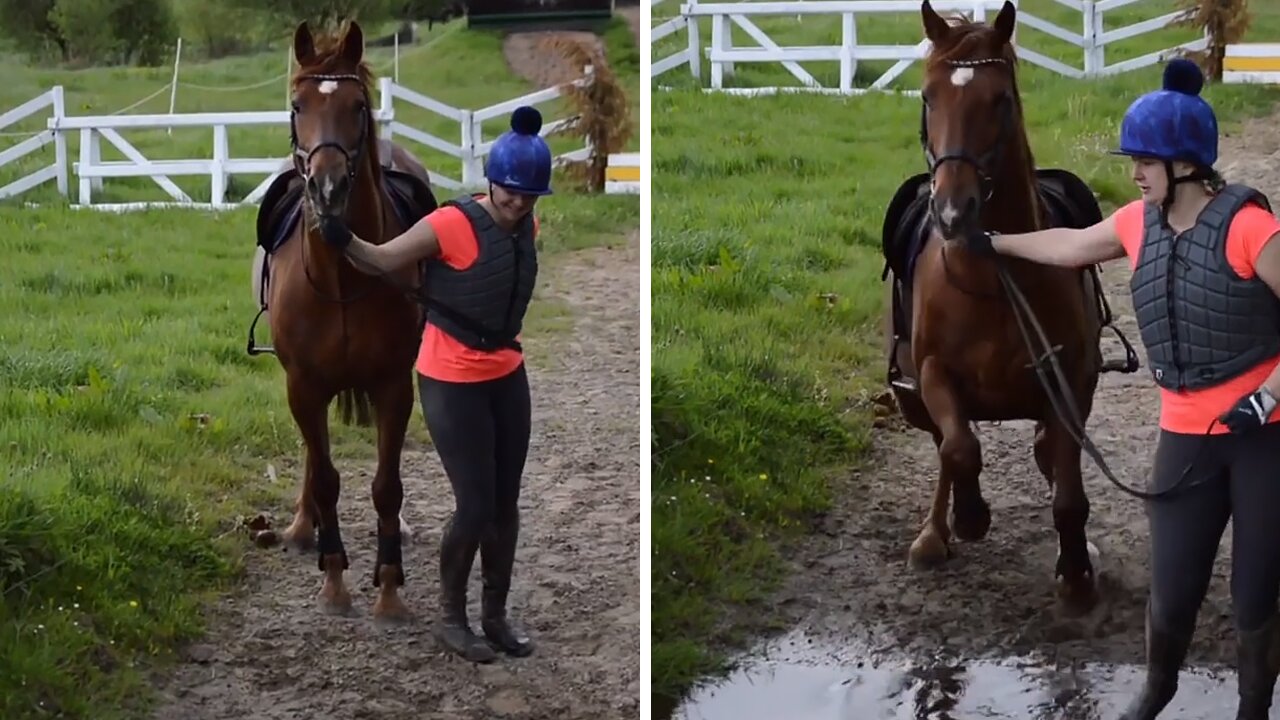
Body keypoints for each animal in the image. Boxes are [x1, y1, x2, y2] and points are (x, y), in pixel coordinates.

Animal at [247, 19, 442, 620]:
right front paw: (334, 579)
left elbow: (386, 484)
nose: (327, 188)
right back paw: (302, 526)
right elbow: (327, 477)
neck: (342, 277)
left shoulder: (392, 385)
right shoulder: (303, 385)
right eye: (297, 105)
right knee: (315, 459)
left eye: (358, 105)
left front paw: (390, 586)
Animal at [885, 2, 1136, 614]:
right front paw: (970, 516)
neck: (994, 272)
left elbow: (1067, 488)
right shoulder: (933, 375)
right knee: (945, 450)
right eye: (927, 96)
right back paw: (935, 533)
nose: (953, 211)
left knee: (1050, 454)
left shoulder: (1070, 379)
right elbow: (959, 449)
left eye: (1000, 99)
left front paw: (1077, 570)